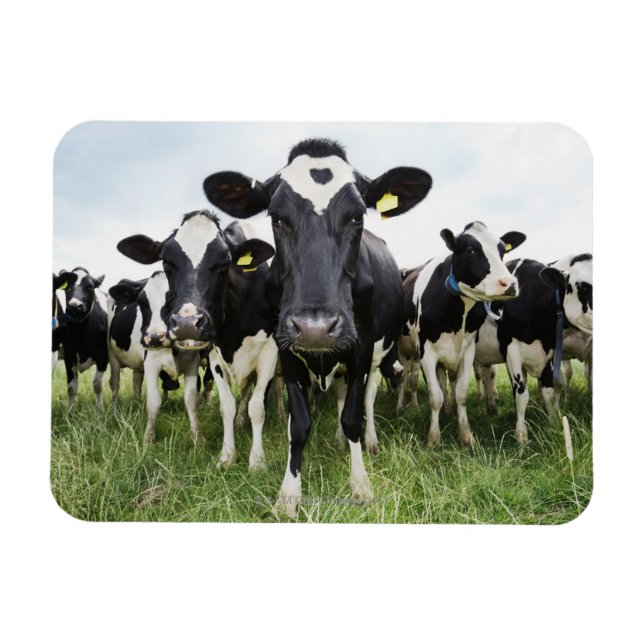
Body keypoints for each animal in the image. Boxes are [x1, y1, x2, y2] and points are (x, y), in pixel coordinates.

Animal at [58, 267, 109, 410]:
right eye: (67, 287)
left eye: (90, 287)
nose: (75, 306)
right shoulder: (68, 355)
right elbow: (71, 387)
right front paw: (69, 412)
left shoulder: (103, 355)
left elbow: (97, 384)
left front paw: (100, 409)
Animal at [107, 271, 204, 444]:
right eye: (141, 303)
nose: (154, 337)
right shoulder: (151, 363)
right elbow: (153, 401)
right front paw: (148, 438)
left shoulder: (193, 362)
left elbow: (192, 401)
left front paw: (198, 438)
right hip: (113, 356)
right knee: (115, 383)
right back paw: (115, 413)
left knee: (136, 382)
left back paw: (137, 406)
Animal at [203, 137, 433, 518]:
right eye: (276, 217)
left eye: (357, 215)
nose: (315, 327)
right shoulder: (285, 348)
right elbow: (299, 424)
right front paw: (288, 496)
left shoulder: (361, 347)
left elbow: (353, 415)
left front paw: (360, 486)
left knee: (366, 399)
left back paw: (368, 441)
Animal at [400, 221, 525, 447]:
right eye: (471, 250)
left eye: (502, 250)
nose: (510, 284)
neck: (456, 316)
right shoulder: (426, 352)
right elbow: (435, 397)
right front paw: (434, 439)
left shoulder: (467, 351)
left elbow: (461, 393)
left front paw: (466, 436)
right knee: (405, 380)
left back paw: (448, 411)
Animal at [474, 253, 592, 443]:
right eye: (583, 286)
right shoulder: (511, 350)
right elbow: (521, 394)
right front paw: (521, 437)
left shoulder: (549, 351)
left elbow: (549, 391)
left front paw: (553, 426)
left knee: (486, 375)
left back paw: (491, 407)